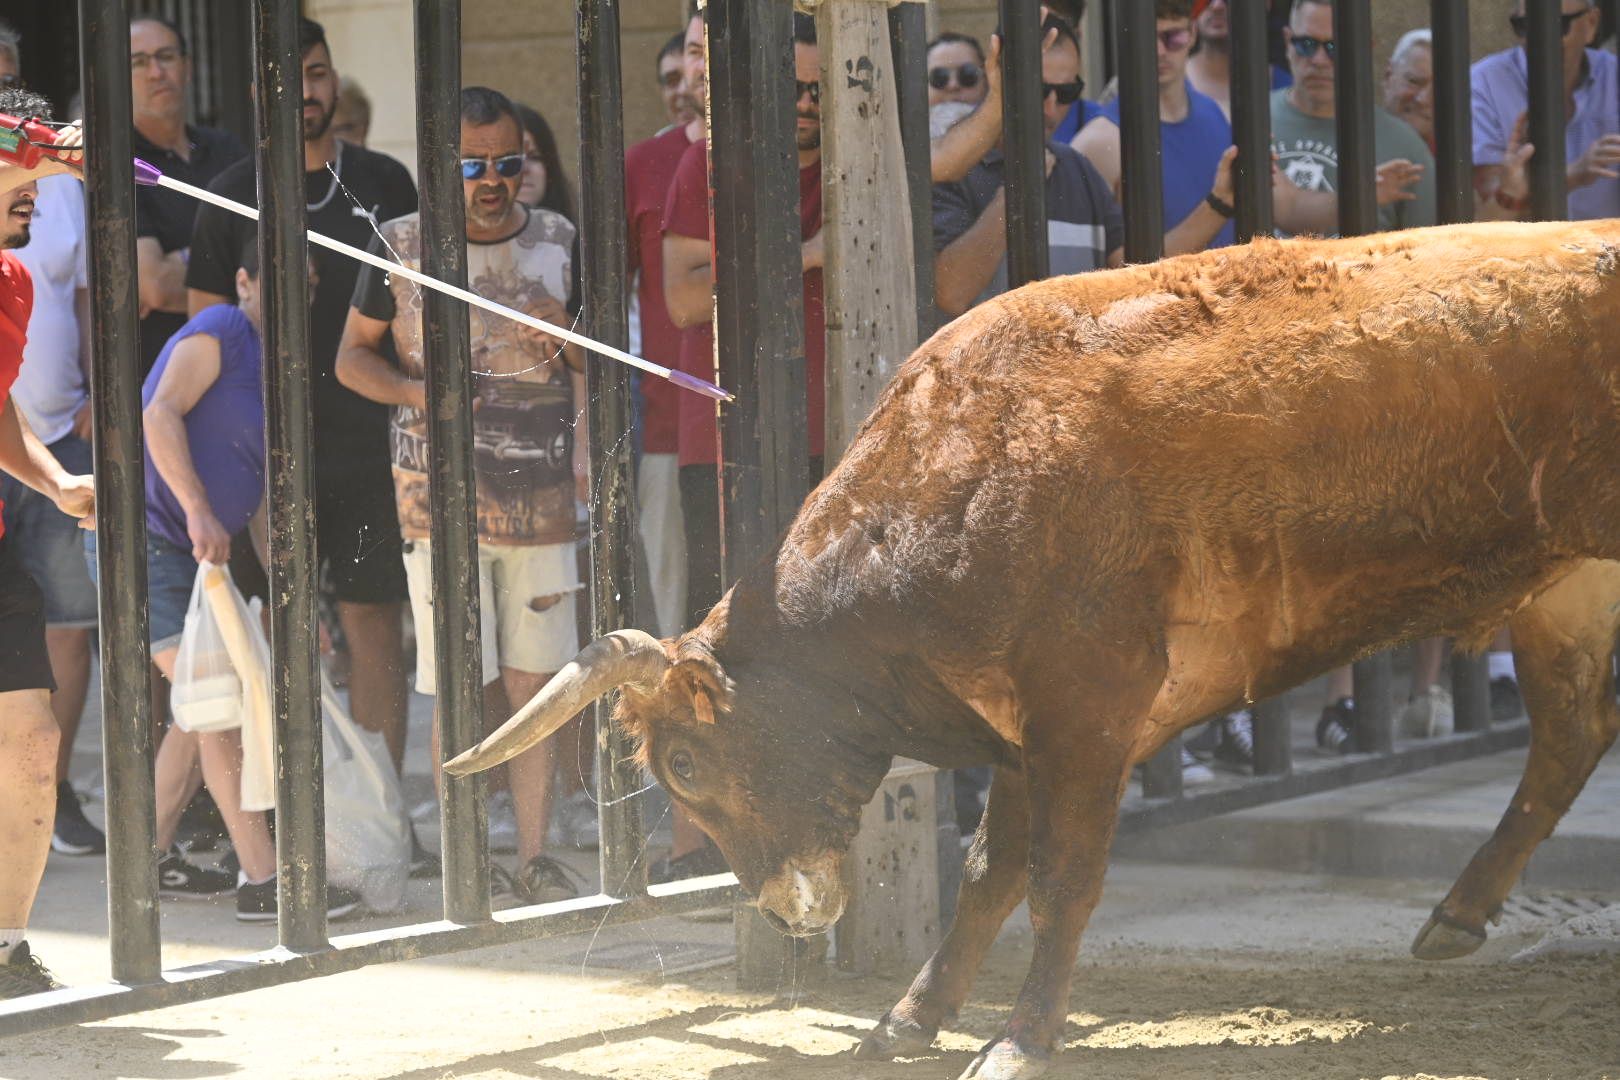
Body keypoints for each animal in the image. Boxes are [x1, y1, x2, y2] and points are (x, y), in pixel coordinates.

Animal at [450, 221, 1620, 1080]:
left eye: (686, 763)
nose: (788, 911)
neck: (954, 484)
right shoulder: (1017, 728)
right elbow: (987, 873)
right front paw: (909, 1020)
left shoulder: (1087, 712)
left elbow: (1060, 878)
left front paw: (1017, 1042)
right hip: (1567, 589)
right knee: (1569, 736)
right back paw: (1457, 915)